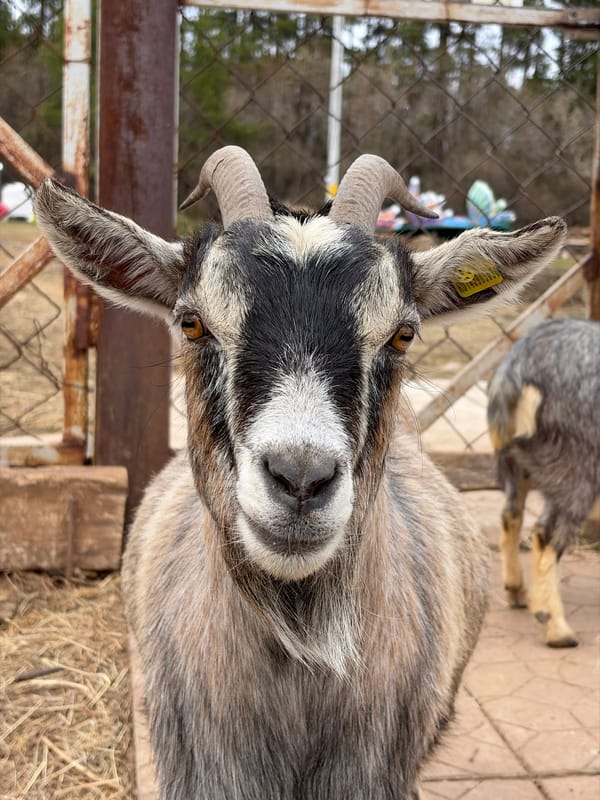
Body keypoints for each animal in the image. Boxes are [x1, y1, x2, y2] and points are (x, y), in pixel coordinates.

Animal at [487, 317, 600, 648]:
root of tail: (515, 370)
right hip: (578, 464)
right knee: (545, 533)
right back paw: (557, 627)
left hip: (517, 459)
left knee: (511, 514)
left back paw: (517, 592)